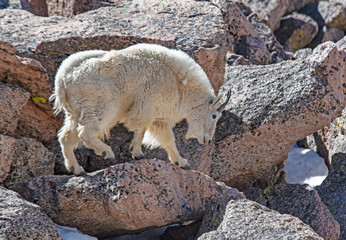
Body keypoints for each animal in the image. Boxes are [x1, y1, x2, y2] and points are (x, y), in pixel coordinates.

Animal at [50, 43, 230, 174]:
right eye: (214, 116)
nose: (207, 140)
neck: (178, 83)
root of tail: (62, 80)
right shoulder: (147, 105)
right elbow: (141, 129)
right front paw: (137, 153)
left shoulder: (159, 118)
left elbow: (168, 139)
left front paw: (182, 163)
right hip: (101, 104)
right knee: (85, 132)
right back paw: (107, 153)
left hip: (75, 111)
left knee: (66, 136)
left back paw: (76, 169)